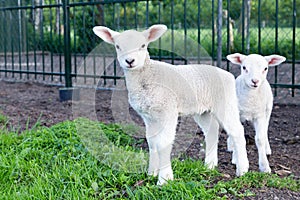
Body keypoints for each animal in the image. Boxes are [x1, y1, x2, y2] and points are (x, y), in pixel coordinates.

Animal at [93, 25, 248, 186]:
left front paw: (164, 179)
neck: (147, 75)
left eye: (143, 45)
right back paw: (210, 166)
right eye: (118, 46)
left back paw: (242, 169)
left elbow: (163, 143)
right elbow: (152, 142)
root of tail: (228, 74)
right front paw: (151, 173)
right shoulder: (148, 116)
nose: (130, 61)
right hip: (202, 110)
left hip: (226, 102)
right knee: (211, 130)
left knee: (237, 131)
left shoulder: (167, 110)